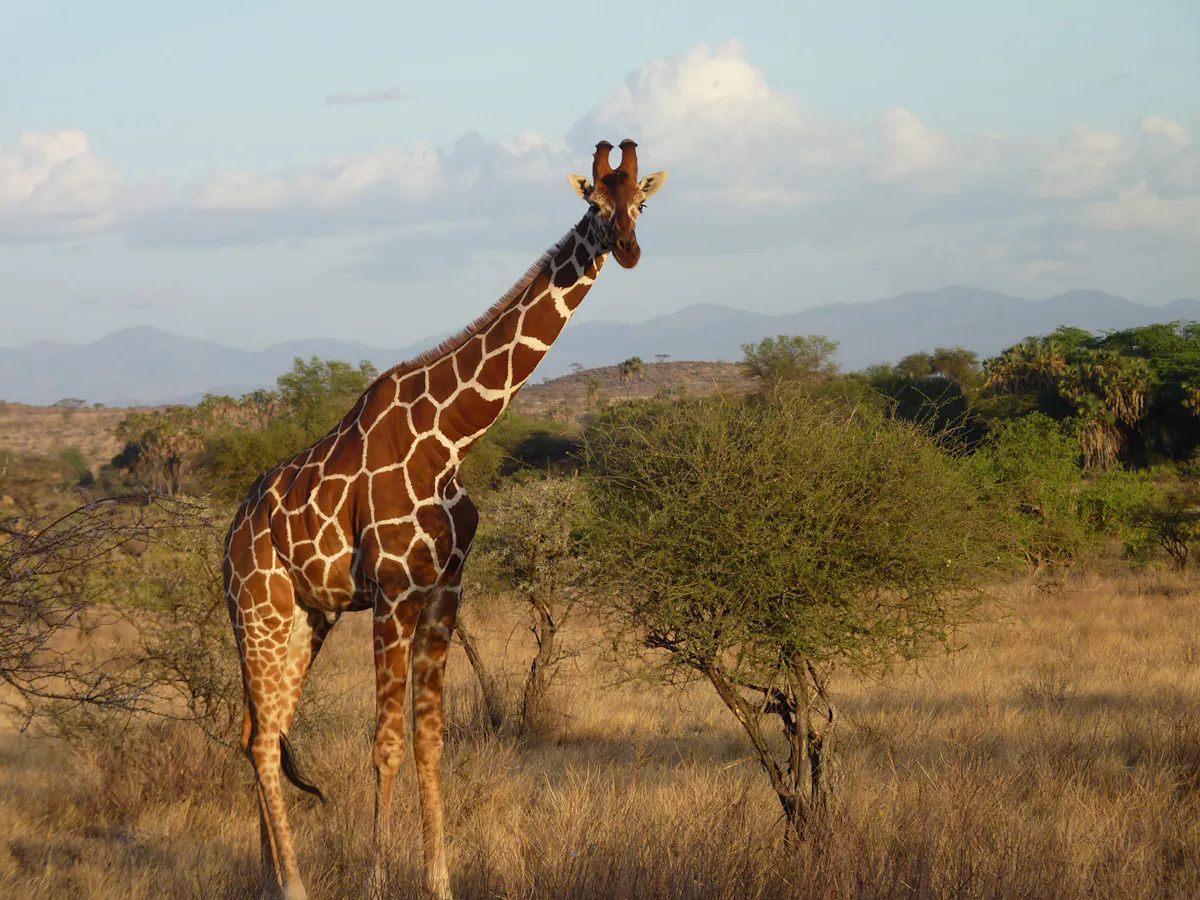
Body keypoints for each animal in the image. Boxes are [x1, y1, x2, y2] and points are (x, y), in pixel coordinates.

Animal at [224, 138, 668, 900]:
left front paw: (440, 881)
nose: (629, 248)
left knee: (264, 731)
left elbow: (430, 740)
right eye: (594, 205)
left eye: (641, 202)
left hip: (306, 619)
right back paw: (293, 885)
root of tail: (225, 544)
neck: (454, 436)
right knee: (258, 738)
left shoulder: (443, 592)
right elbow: (385, 744)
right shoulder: (394, 593)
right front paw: (376, 881)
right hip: (260, 612)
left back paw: (269, 878)